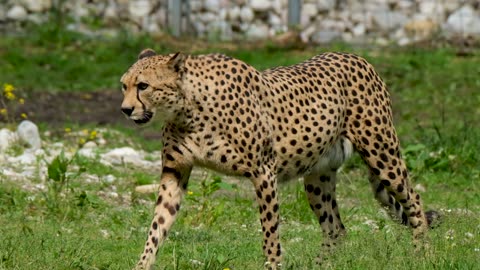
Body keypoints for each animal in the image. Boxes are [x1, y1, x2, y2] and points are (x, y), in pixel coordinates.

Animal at [121, 49, 438, 268]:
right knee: (336, 229)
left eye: (143, 86)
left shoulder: (263, 172)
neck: (187, 110)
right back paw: (318, 266)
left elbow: (270, 232)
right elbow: (158, 226)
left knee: (414, 200)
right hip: (318, 177)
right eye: (124, 85)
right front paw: (142, 264)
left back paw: (422, 253)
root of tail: (355, 56)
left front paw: (273, 264)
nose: (125, 109)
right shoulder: (175, 172)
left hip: (381, 152)